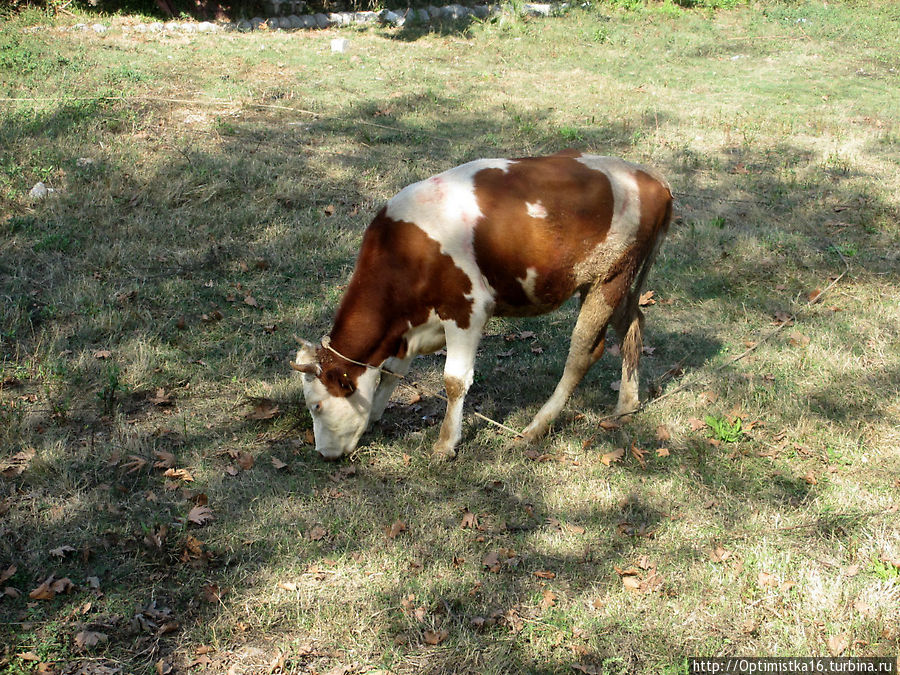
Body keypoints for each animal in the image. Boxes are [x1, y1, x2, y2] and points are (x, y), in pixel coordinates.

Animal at [292, 151, 672, 462]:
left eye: (317, 405)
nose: (323, 454)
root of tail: (654, 180)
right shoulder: (409, 327)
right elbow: (391, 372)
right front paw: (374, 417)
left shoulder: (467, 309)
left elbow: (454, 381)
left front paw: (446, 443)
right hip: (612, 282)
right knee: (632, 325)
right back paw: (626, 405)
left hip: (610, 279)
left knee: (582, 354)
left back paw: (536, 427)